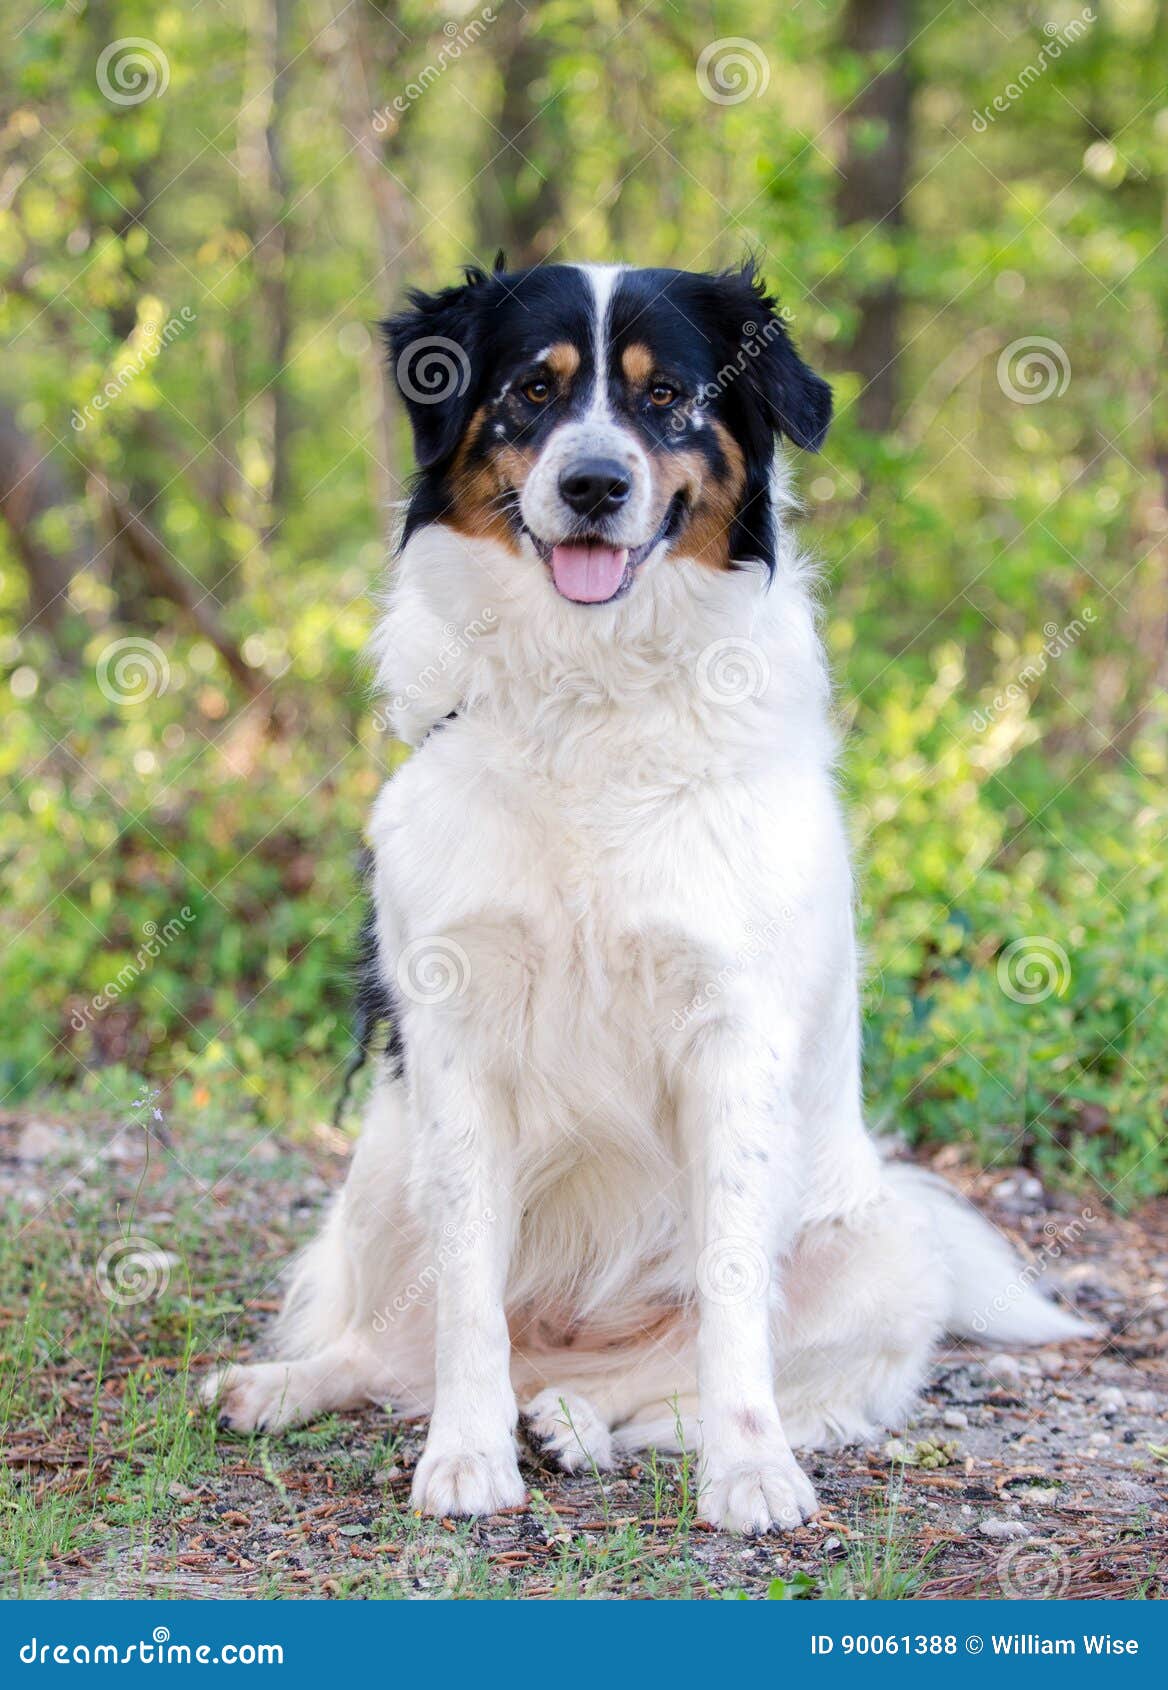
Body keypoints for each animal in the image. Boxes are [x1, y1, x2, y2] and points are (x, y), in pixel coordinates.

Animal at [205, 260, 1095, 1534]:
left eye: (667, 395)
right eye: (532, 391)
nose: (593, 484)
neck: (590, 684)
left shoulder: (730, 1033)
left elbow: (728, 1303)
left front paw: (749, 1470)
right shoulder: (454, 1037)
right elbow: (465, 1294)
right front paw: (464, 1454)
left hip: (882, 1252)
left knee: (653, 1385)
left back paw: (575, 1422)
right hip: (380, 1169)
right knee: (397, 1346)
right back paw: (301, 1388)